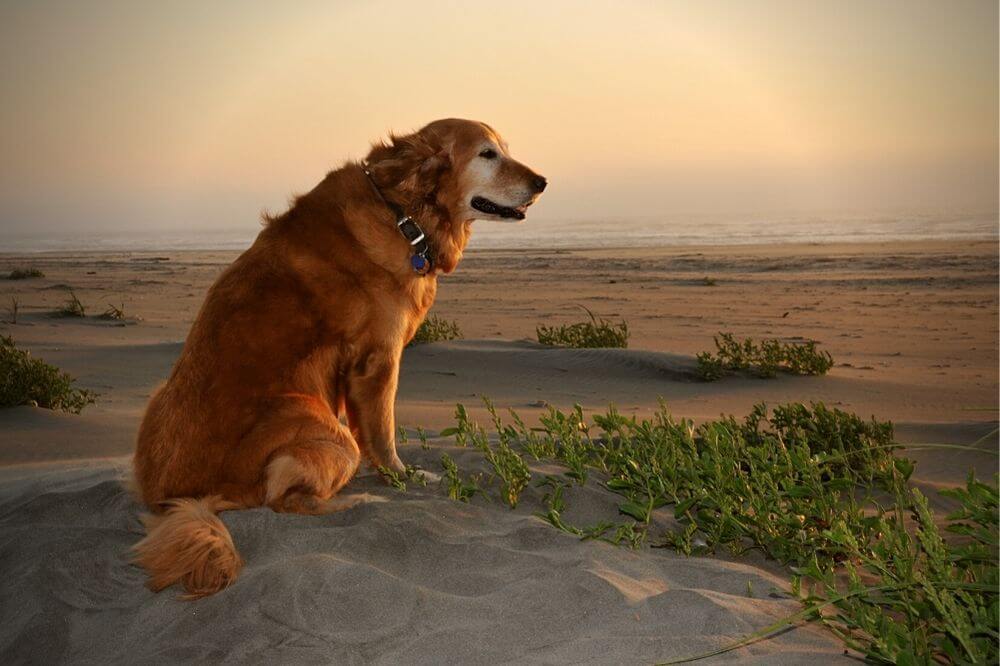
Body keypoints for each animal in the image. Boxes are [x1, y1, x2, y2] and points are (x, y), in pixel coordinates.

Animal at [132, 119, 548, 596]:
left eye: (503, 149)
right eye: (487, 154)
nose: (542, 182)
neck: (402, 213)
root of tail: (173, 500)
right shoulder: (378, 360)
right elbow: (383, 435)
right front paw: (401, 478)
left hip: (160, 394)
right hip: (322, 426)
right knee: (283, 500)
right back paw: (357, 500)